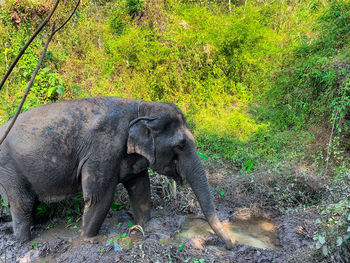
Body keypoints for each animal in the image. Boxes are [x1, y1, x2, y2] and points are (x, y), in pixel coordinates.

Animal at [0, 97, 234, 250]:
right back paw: (23, 242)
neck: (141, 106)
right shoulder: (103, 149)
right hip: (9, 169)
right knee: (23, 203)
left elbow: (140, 187)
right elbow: (99, 197)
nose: (231, 245)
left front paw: (146, 226)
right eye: (181, 145)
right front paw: (87, 239)